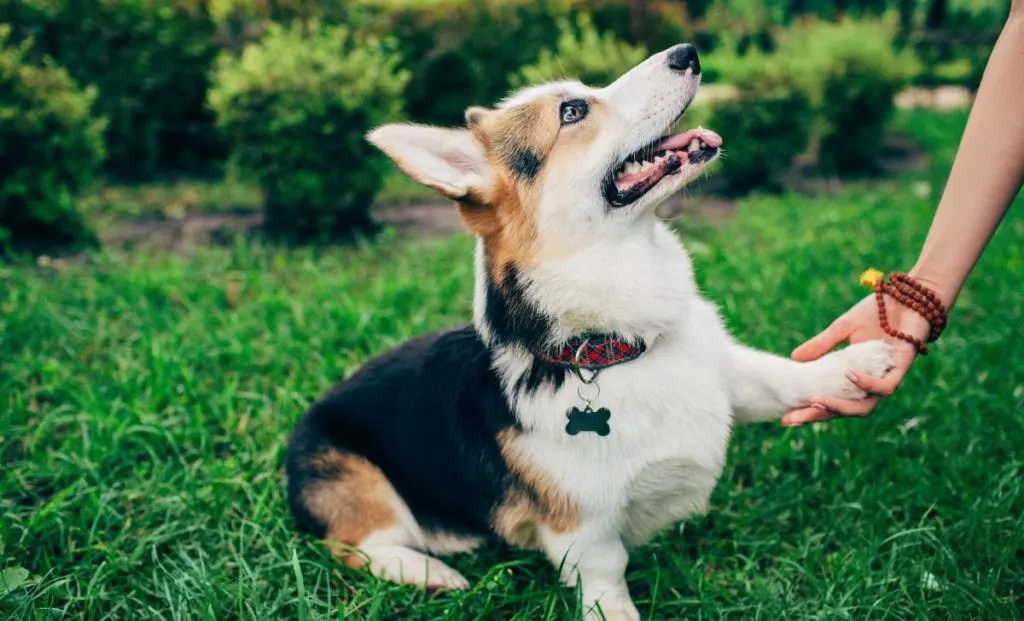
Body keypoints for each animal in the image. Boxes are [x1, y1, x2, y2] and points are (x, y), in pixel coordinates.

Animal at [284, 45, 892, 621]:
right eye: (573, 111)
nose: (688, 52)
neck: (621, 345)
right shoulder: (582, 526)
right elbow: (607, 574)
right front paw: (616, 613)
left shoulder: (726, 374)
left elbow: (782, 376)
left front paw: (863, 360)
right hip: (352, 477)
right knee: (357, 546)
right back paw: (430, 572)